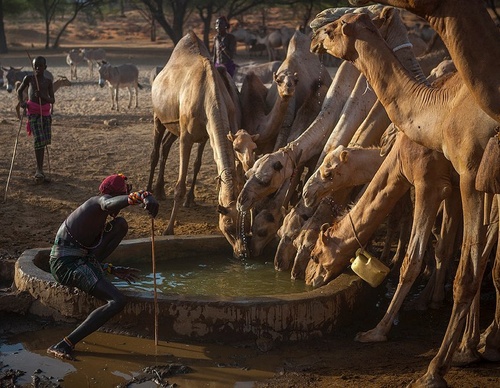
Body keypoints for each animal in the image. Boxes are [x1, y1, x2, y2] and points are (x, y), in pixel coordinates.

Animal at [150, 31, 248, 260]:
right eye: (228, 227)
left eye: (246, 226)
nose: (241, 253)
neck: (210, 97)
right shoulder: (186, 136)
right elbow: (179, 185)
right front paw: (168, 229)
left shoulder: (206, 134)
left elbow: (197, 165)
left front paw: (191, 200)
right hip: (158, 116)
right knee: (155, 150)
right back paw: (149, 190)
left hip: (174, 125)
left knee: (165, 146)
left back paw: (160, 191)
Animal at [312, 9, 500, 388]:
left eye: (315, 253)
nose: (308, 277)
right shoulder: (450, 188)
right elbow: (446, 247)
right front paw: (431, 306)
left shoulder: (432, 184)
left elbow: (419, 257)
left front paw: (378, 330)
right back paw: (481, 342)